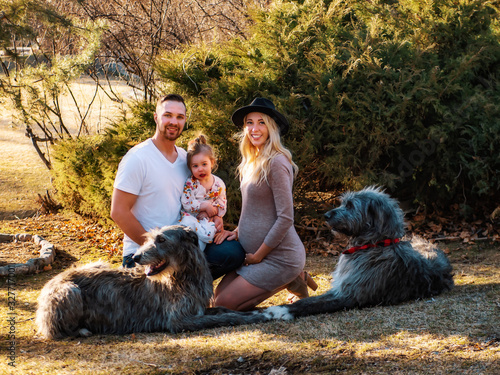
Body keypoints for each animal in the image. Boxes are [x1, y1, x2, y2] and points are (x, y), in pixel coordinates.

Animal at [37, 226, 268, 340]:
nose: (137, 257)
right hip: (70, 292)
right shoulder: (178, 320)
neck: (183, 277)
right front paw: (256, 318)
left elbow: (223, 311)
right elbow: (225, 318)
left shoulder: (197, 308)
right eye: (149, 238)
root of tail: (52, 281)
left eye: (162, 240)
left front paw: (256, 312)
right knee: (55, 331)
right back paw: (82, 331)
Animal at [264, 187, 456, 322]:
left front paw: (280, 311)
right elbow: (311, 300)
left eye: (350, 205)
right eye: (344, 203)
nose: (325, 215)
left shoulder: (353, 296)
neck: (373, 245)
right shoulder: (341, 287)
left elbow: (313, 305)